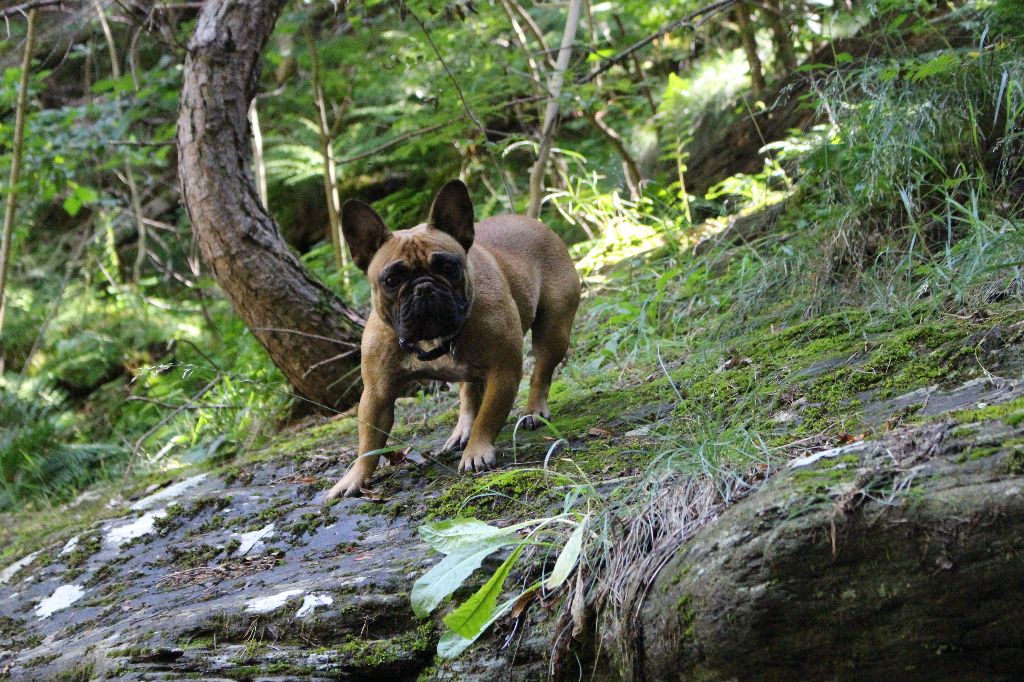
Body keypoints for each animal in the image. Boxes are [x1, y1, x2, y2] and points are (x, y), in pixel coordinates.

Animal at [329, 179, 585, 499]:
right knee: (469, 394)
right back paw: (462, 430)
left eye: (449, 268)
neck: (431, 340)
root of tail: (531, 222)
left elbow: (489, 417)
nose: (424, 287)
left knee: (542, 371)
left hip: (554, 331)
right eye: (391, 280)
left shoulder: (503, 372)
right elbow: (368, 441)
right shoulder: (376, 393)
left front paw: (476, 452)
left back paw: (533, 412)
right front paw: (354, 477)